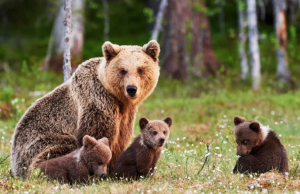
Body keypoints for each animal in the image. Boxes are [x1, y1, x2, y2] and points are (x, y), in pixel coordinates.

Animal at [10, 40, 161, 178]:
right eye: (123, 70)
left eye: (140, 69)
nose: (131, 89)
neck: (118, 99)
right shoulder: (97, 101)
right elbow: (97, 135)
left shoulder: (126, 115)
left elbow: (120, 139)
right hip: (39, 145)